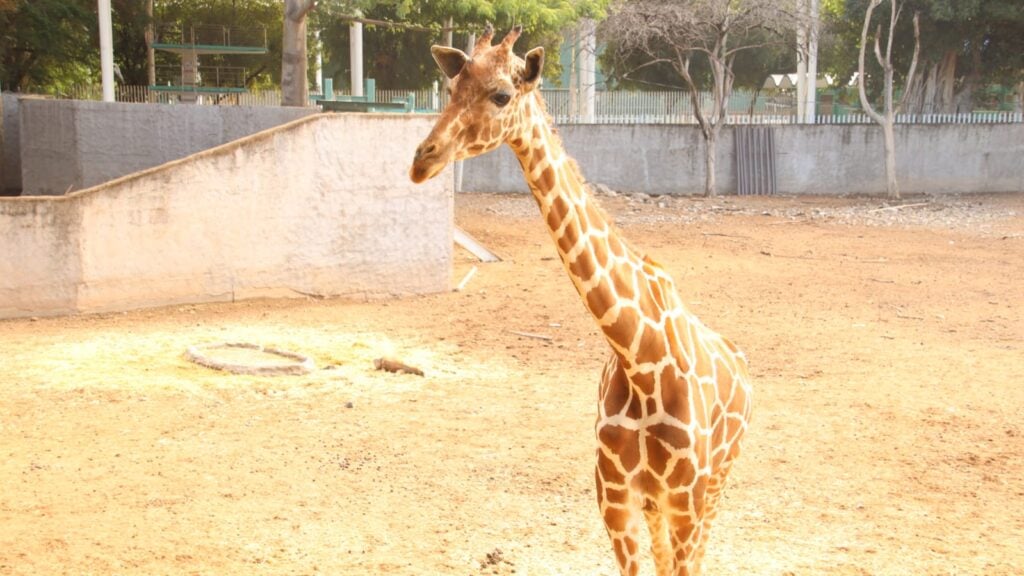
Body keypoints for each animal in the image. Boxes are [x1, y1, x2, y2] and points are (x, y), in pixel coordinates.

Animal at [407, 24, 753, 569]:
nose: (423, 160)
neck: (637, 355)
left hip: (714, 487)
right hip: (660, 505)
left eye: (501, 95)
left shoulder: (686, 502)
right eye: (450, 88)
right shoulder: (615, 501)